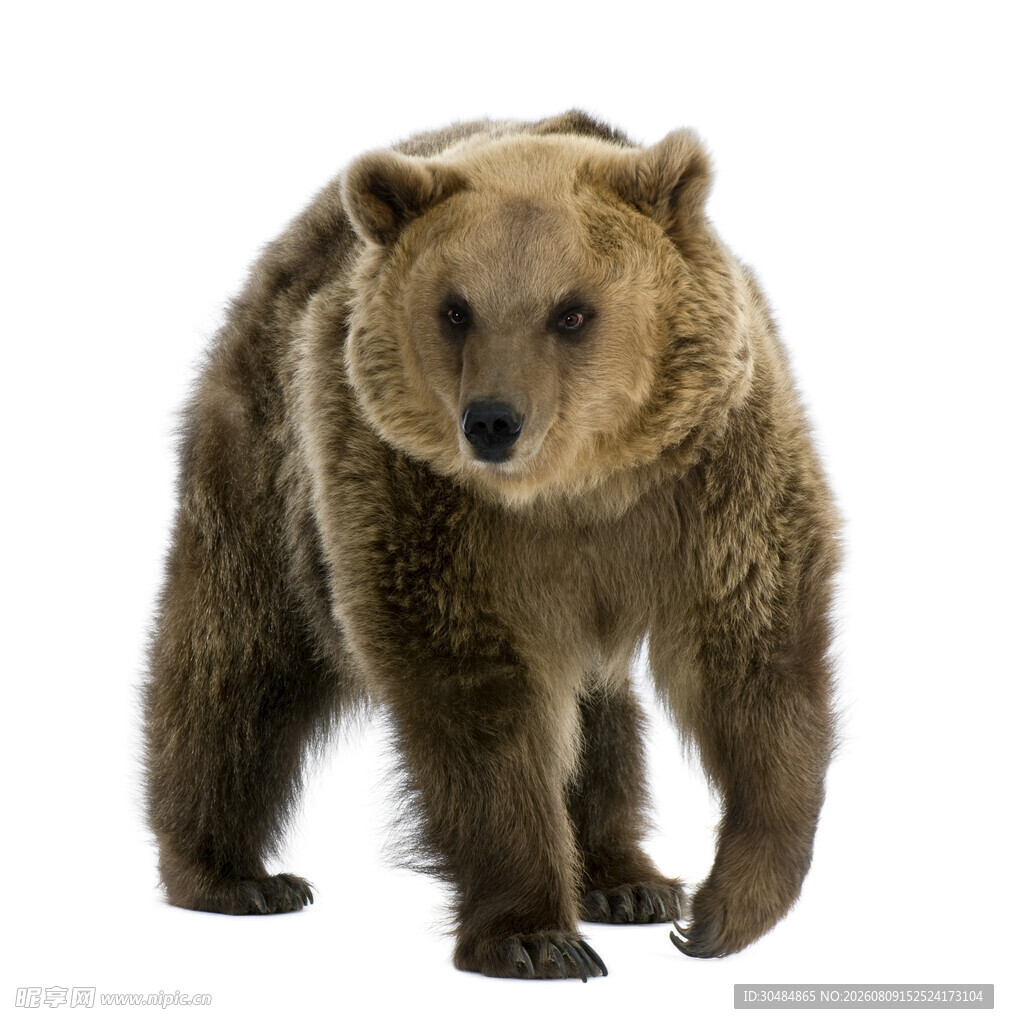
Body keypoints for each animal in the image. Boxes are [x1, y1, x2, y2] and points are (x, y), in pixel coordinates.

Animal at [143, 110, 840, 981]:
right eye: (455, 309)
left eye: (571, 311)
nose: (492, 421)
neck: (574, 488)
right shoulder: (423, 505)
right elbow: (479, 707)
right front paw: (534, 936)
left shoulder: (711, 479)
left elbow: (752, 661)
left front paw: (721, 911)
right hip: (269, 474)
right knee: (235, 662)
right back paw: (233, 875)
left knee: (599, 713)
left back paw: (625, 880)